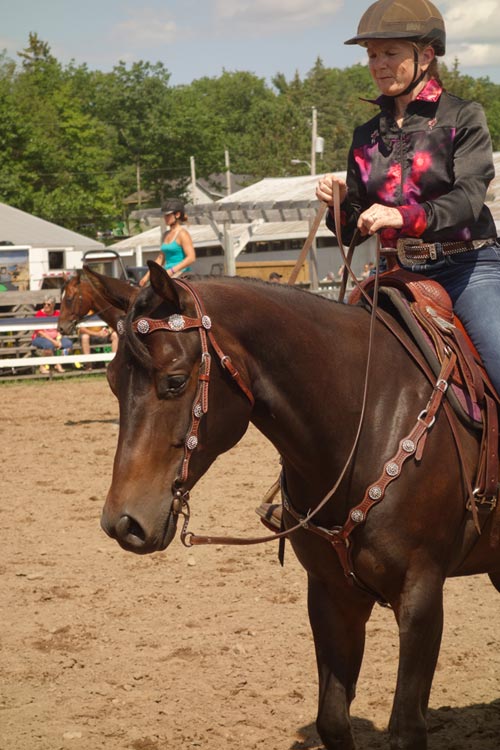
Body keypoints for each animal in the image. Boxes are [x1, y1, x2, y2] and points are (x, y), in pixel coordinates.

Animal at [84, 261, 500, 750]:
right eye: (111, 382)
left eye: (175, 380)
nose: (122, 522)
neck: (368, 417)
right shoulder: (330, 594)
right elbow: (333, 719)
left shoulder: (420, 594)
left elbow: (406, 728)